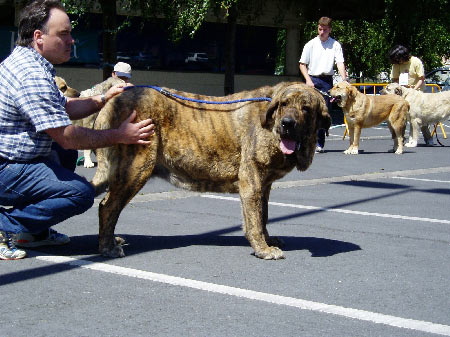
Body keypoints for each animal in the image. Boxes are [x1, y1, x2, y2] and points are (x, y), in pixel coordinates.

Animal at [91, 82, 330, 260]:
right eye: (283, 104)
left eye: (306, 108)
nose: (287, 123)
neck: (271, 125)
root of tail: (112, 101)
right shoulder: (251, 180)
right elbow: (254, 219)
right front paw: (263, 249)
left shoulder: (264, 184)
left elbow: (263, 215)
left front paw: (267, 240)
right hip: (137, 169)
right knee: (108, 206)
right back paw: (108, 248)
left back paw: (112, 240)